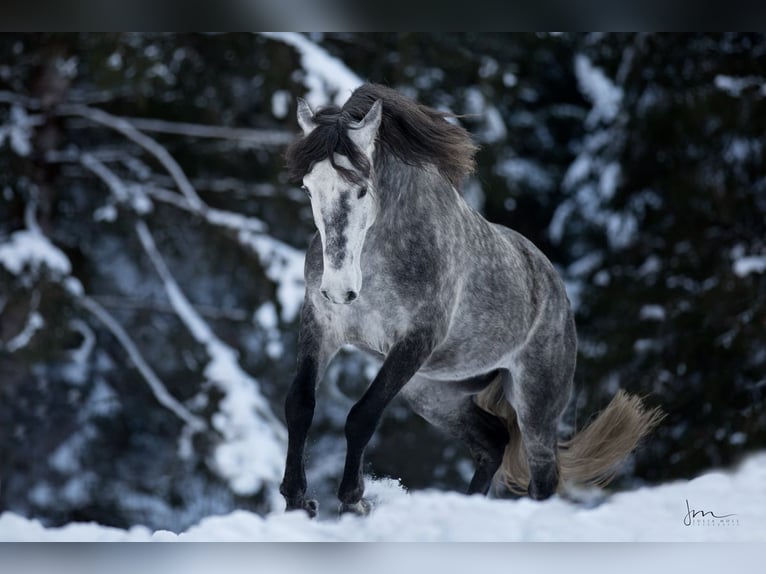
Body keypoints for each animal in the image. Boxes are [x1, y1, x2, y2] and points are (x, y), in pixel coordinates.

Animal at [280, 82, 664, 516]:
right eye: (308, 188)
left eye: (361, 190)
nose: (339, 289)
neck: (378, 257)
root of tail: (556, 291)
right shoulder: (322, 324)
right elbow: (299, 405)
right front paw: (297, 500)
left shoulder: (416, 340)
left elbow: (363, 415)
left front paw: (352, 500)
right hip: (432, 391)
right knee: (493, 440)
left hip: (535, 401)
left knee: (542, 474)